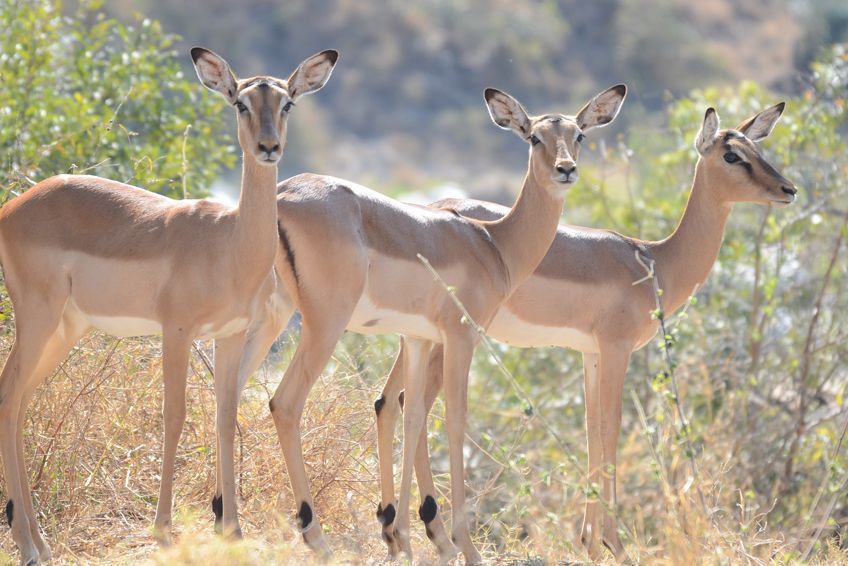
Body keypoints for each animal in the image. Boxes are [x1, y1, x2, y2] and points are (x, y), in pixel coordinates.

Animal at [0, 46, 338, 564]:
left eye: (287, 103)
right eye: (240, 102)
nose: (269, 147)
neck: (229, 243)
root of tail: (16, 205)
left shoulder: (230, 336)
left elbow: (224, 416)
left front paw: (233, 530)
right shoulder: (176, 331)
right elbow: (175, 416)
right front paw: (162, 529)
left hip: (64, 329)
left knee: (19, 401)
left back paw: (40, 543)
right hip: (37, 318)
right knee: (8, 393)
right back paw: (27, 545)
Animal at [229, 82, 628, 560]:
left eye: (579, 135)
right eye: (533, 136)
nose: (566, 170)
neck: (493, 244)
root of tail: (284, 194)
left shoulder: (419, 339)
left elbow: (412, 412)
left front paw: (402, 538)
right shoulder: (461, 338)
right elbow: (454, 421)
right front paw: (463, 546)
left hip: (269, 317)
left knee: (226, 392)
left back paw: (225, 522)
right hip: (323, 325)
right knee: (284, 403)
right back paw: (315, 535)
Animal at [376, 104, 796, 560]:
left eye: (758, 148)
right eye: (732, 155)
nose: (788, 189)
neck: (654, 261)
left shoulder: (591, 353)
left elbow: (593, 429)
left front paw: (590, 542)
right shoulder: (616, 349)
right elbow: (611, 428)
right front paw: (614, 543)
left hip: (421, 338)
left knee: (392, 400)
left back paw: (400, 529)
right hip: (449, 339)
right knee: (414, 403)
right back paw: (429, 533)